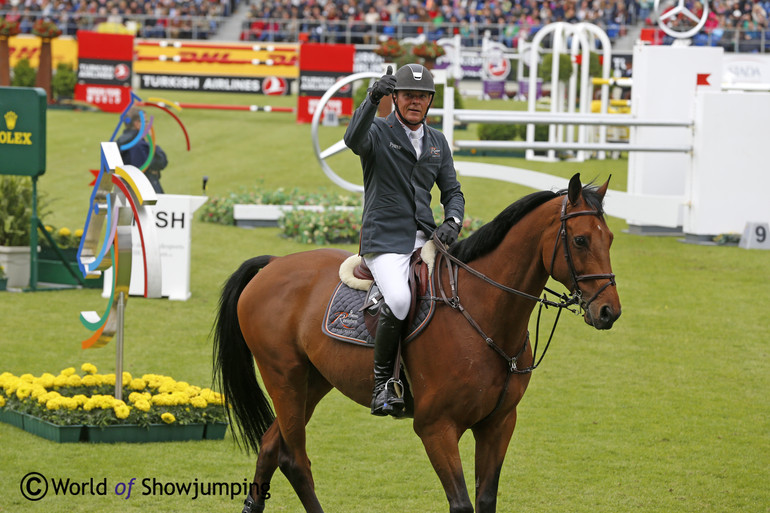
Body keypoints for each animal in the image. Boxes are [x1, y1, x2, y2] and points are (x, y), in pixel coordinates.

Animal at [213, 174, 620, 510]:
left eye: (611, 239)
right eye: (580, 240)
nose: (608, 311)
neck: (481, 313)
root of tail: (274, 263)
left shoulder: (498, 424)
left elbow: (486, 500)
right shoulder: (436, 428)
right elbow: (462, 503)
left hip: (312, 382)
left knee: (270, 446)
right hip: (284, 378)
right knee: (293, 459)